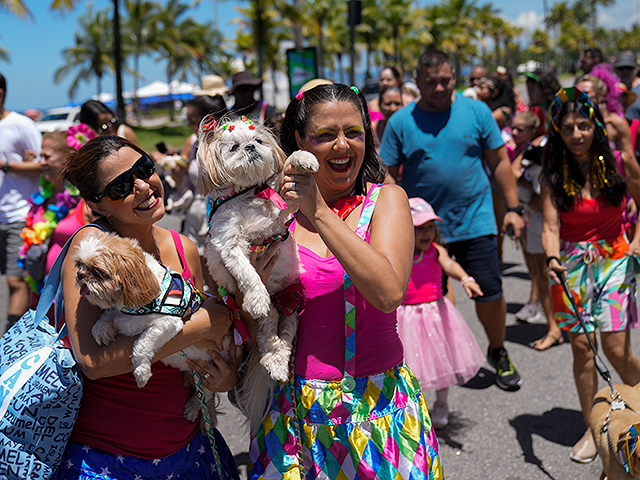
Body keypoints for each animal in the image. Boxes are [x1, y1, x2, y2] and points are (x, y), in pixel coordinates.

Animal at [73, 231, 218, 422]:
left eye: (98, 271)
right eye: (79, 264)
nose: (80, 274)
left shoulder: (168, 323)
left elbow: (141, 345)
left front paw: (141, 372)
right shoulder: (121, 313)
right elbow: (110, 314)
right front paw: (102, 328)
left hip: (208, 375)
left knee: (205, 395)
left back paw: (194, 408)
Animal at [194, 115, 316, 428]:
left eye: (259, 140)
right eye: (234, 146)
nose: (250, 147)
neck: (248, 194)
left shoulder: (280, 215)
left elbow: (288, 177)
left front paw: (305, 158)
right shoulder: (230, 244)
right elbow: (248, 274)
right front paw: (257, 297)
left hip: (290, 308)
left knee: (283, 340)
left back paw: (277, 364)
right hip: (267, 316)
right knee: (267, 334)